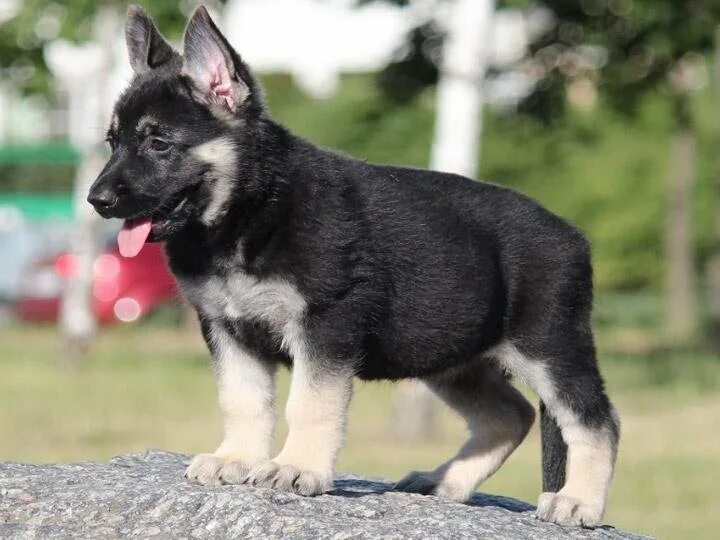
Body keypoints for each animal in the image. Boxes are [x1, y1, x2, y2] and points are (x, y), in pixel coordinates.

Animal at [88, 4, 620, 528]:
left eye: (158, 143)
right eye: (113, 142)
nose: (97, 200)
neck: (251, 211)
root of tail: (577, 238)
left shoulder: (325, 325)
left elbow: (310, 403)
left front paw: (297, 467)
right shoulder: (227, 330)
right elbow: (242, 401)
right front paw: (235, 459)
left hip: (550, 349)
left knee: (597, 422)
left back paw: (578, 503)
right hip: (452, 359)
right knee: (510, 416)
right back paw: (443, 482)